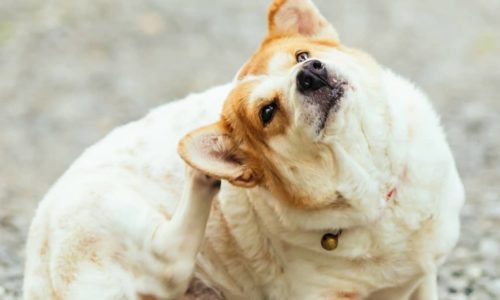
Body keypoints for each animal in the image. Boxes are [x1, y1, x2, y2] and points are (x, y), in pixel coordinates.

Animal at [23, 0, 462, 300]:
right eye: (267, 112)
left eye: (302, 55)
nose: (309, 73)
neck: (377, 190)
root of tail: (34, 255)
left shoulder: (423, 280)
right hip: (114, 224)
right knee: (171, 258)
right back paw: (199, 177)